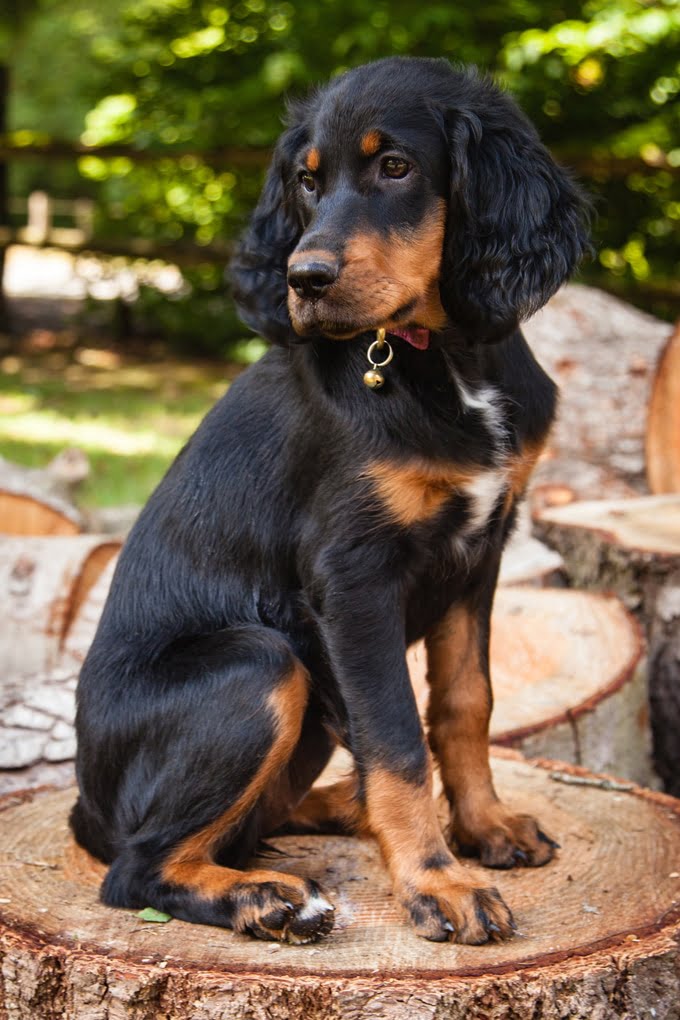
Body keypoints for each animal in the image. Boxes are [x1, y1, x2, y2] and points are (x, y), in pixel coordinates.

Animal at [71, 57, 587, 946]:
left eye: (397, 167)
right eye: (306, 183)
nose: (302, 280)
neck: (442, 358)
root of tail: (86, 807)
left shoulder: (483, 545)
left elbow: (464, 700)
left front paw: (483, 827)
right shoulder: (352, 578)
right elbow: (397, 734)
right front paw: (438, 883)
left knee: (258, 816)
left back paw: (341, 814)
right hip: (261, 663)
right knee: (137, 866)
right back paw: (265, 896)